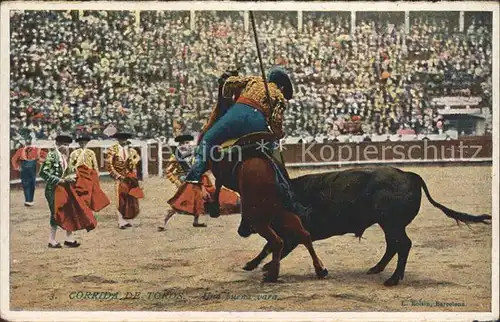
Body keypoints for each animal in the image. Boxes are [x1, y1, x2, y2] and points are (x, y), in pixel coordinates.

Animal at [239, 167, 492, 286]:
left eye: (249, 209)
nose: (241, 230)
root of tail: (409, 175)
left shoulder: (293, 234)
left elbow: (273, 246)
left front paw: (260, 267)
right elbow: (270, 247)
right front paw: (255, 265)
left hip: (392, 223)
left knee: (403, 245)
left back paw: (392, 279)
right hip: (387, 224)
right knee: (394, 245)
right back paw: (377, 269)